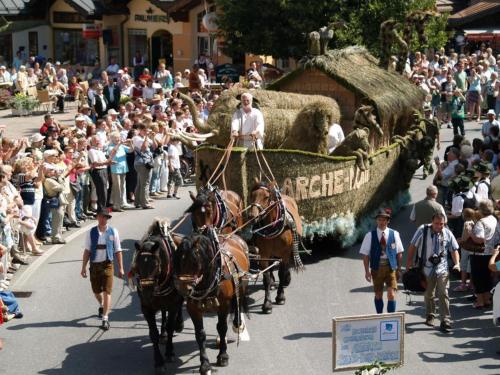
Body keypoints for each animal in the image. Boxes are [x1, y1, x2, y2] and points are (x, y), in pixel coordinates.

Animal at [132, 220, 187, 375]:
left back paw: (179, 324)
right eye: (137, 266)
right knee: (163, 313)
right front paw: (158, 362)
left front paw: (169, 353)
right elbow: (153, 334)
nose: (146, 294)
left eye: (155, 265)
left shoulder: (172, 304)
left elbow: (170, 326)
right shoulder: (147, 308)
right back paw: (163, 334)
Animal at [174, 231, 250, 374]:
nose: (184, 288)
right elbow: (200, 334)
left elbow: (222, 327)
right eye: (179, 261)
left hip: (242, 283)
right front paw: (205, 364)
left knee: (238, 301)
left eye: (194, 261)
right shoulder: (193, 309)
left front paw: (223, 356)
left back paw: (237, 324)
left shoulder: (223, 305)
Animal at [247, 179, 302, 314]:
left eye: (266, 197)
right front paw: (267, 304)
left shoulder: (285, 253)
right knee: (272, 266)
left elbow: (282, 273)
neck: (272, 225)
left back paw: (287, 278)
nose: (251, 216)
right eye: (251, 195)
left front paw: (280, 297)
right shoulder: (264, 253)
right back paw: (272, 282)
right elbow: (266, 277)